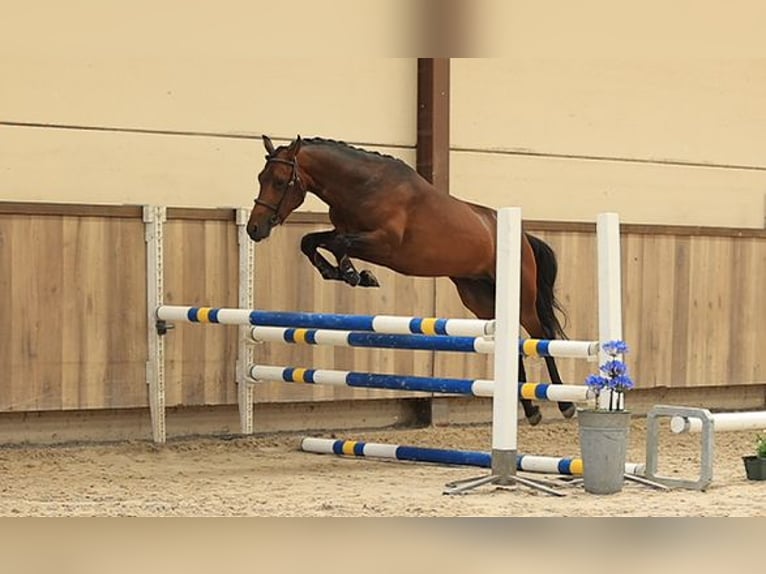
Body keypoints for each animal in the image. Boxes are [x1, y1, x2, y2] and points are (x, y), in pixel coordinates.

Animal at [247, 135, 574, 425]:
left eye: (279, 181)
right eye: (260, 177)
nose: (254, 229)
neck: (363, 186)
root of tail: (522, 236)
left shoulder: (384, 244)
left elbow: (338, 245)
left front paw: (354, 274)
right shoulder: (347, 232)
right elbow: (311, 241)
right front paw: (342, 273)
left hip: (522, 297)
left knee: (541, 335)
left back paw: (565, 404)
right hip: (479, 297)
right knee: (515, 342)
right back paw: (531, 411)